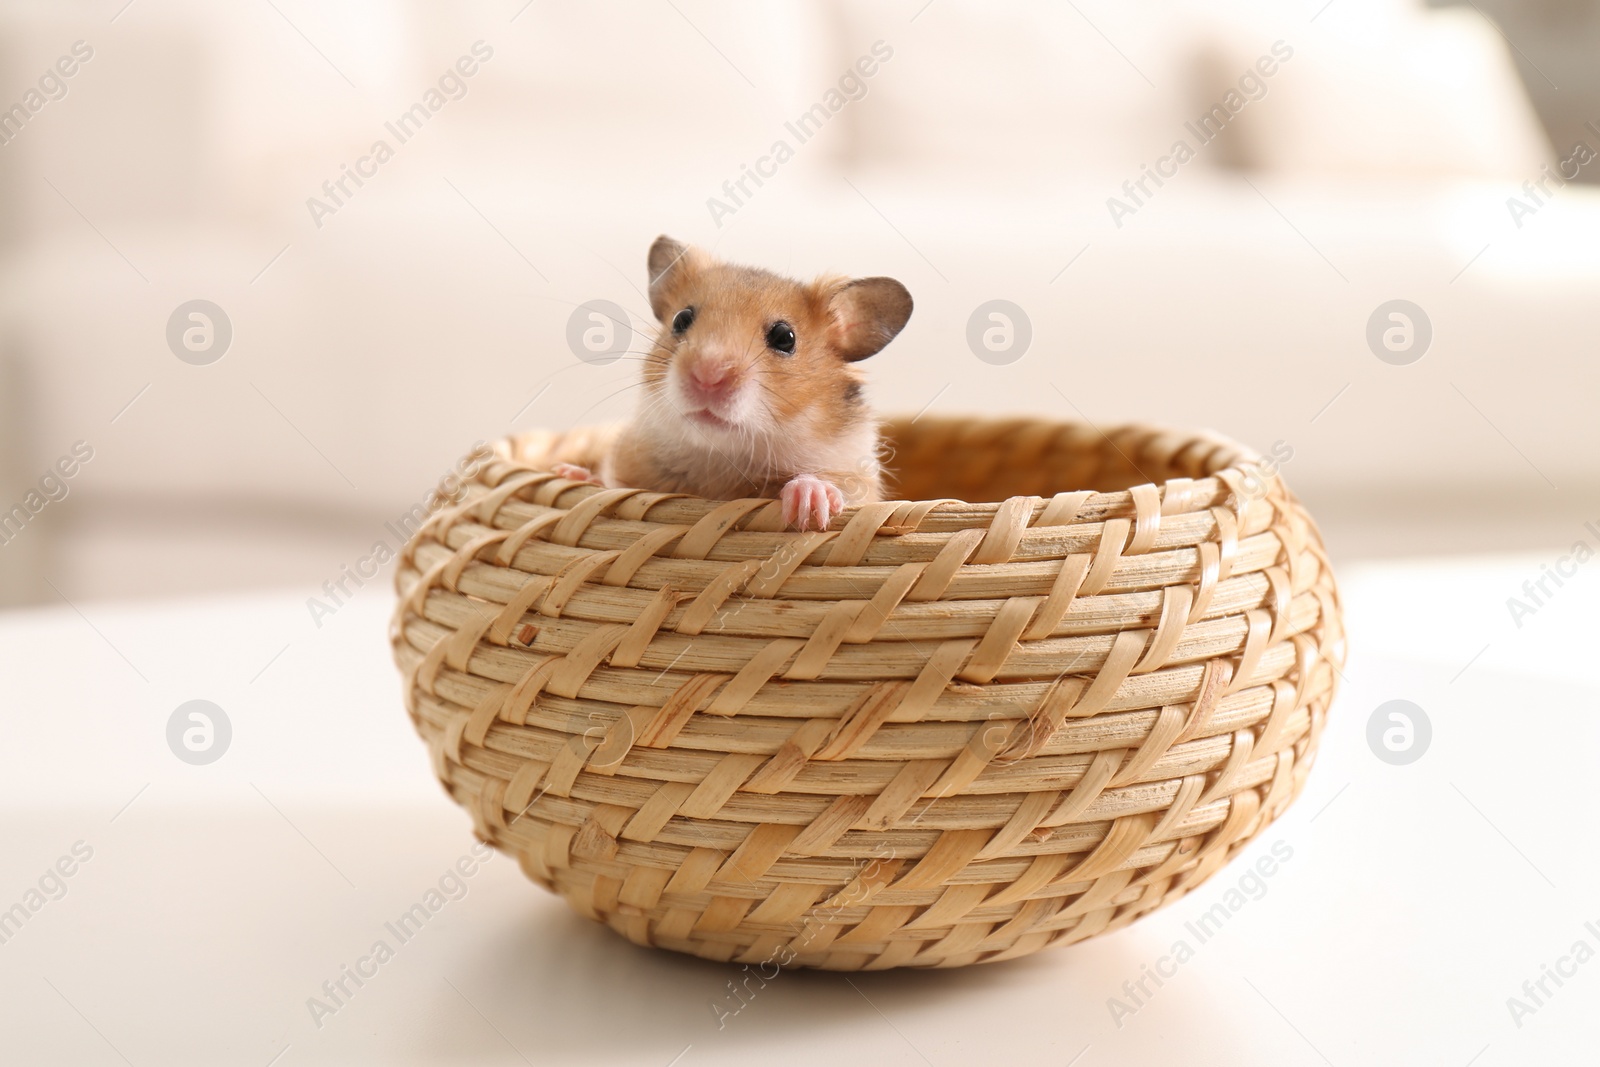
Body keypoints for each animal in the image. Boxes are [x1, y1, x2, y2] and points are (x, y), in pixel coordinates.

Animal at [556, 236, 915, 531]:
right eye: (681, 320)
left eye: (785, 338)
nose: (707, 376)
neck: (723, 458)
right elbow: (609, 485)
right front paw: (571, 474)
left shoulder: (859, 477)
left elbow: (833, 485)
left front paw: (808, 503)